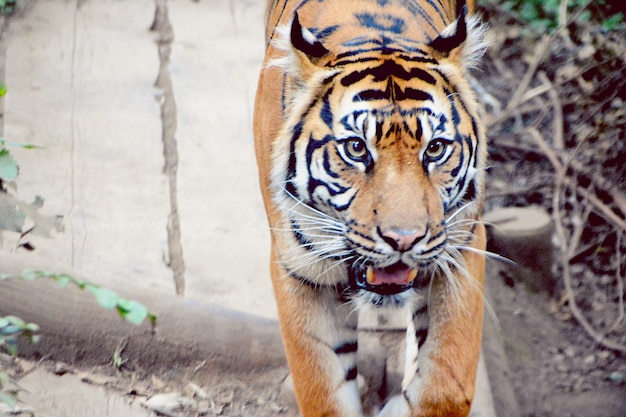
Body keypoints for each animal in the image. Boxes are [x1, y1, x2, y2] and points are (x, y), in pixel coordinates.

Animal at [252, 0, 488, 416]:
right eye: (356, 148)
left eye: (435, 149)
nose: (404, 240)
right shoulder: (299, 269)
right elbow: (323, 391)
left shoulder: (462, 244)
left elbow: (446, 383)